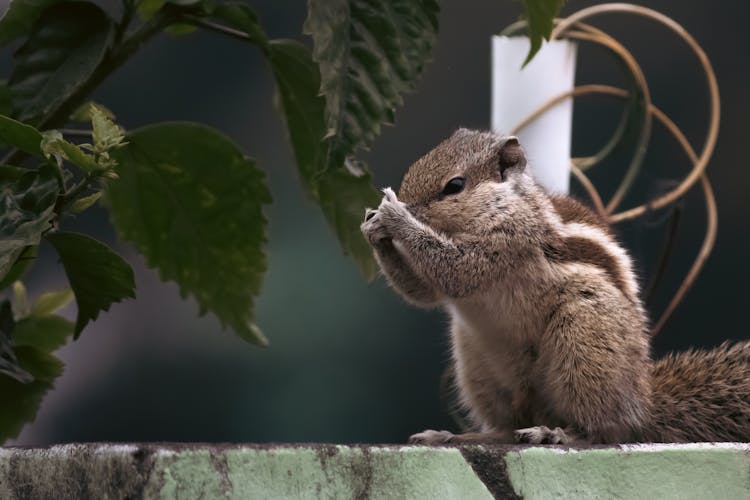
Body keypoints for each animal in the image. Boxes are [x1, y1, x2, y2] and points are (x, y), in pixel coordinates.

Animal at [362, 129, 748, 446]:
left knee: (606, 430)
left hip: (585, 341)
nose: (409, 206)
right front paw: (374, 227)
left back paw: (559, 433)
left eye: (454, 186)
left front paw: (395, 217)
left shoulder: (512, 237)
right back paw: (452, 436)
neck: (502, 203)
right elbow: (423, 292)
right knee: (506, 428)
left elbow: (455, 271)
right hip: (477, 364)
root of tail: (643, 402)